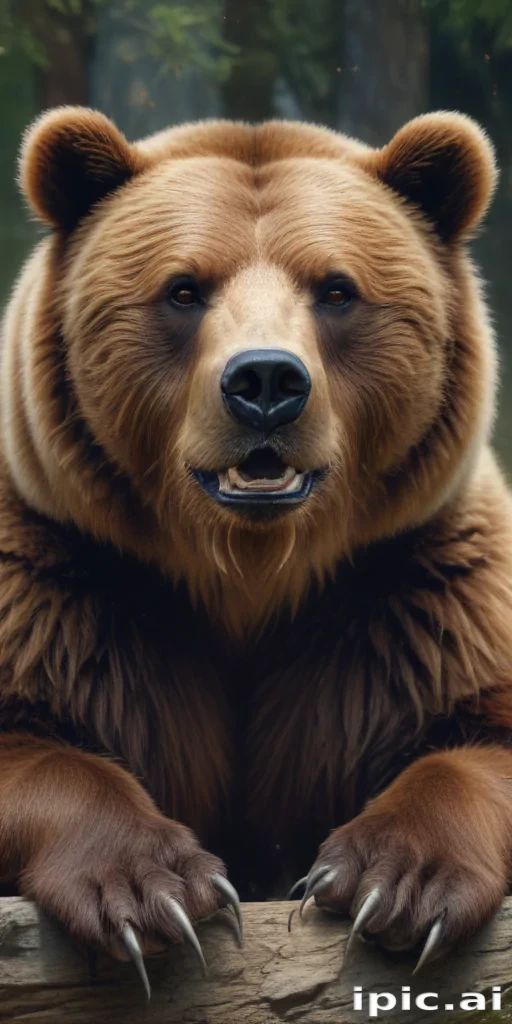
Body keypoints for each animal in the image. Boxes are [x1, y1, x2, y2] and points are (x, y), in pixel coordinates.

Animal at [0, 104, 511, 993]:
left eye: (337, 290)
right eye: (183, 289)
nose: (266, 382)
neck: (249, 570)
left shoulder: (415, 591)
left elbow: (477, 734)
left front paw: (393, 878)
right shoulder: (64, 579)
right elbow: (37, 744)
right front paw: (154, 888)